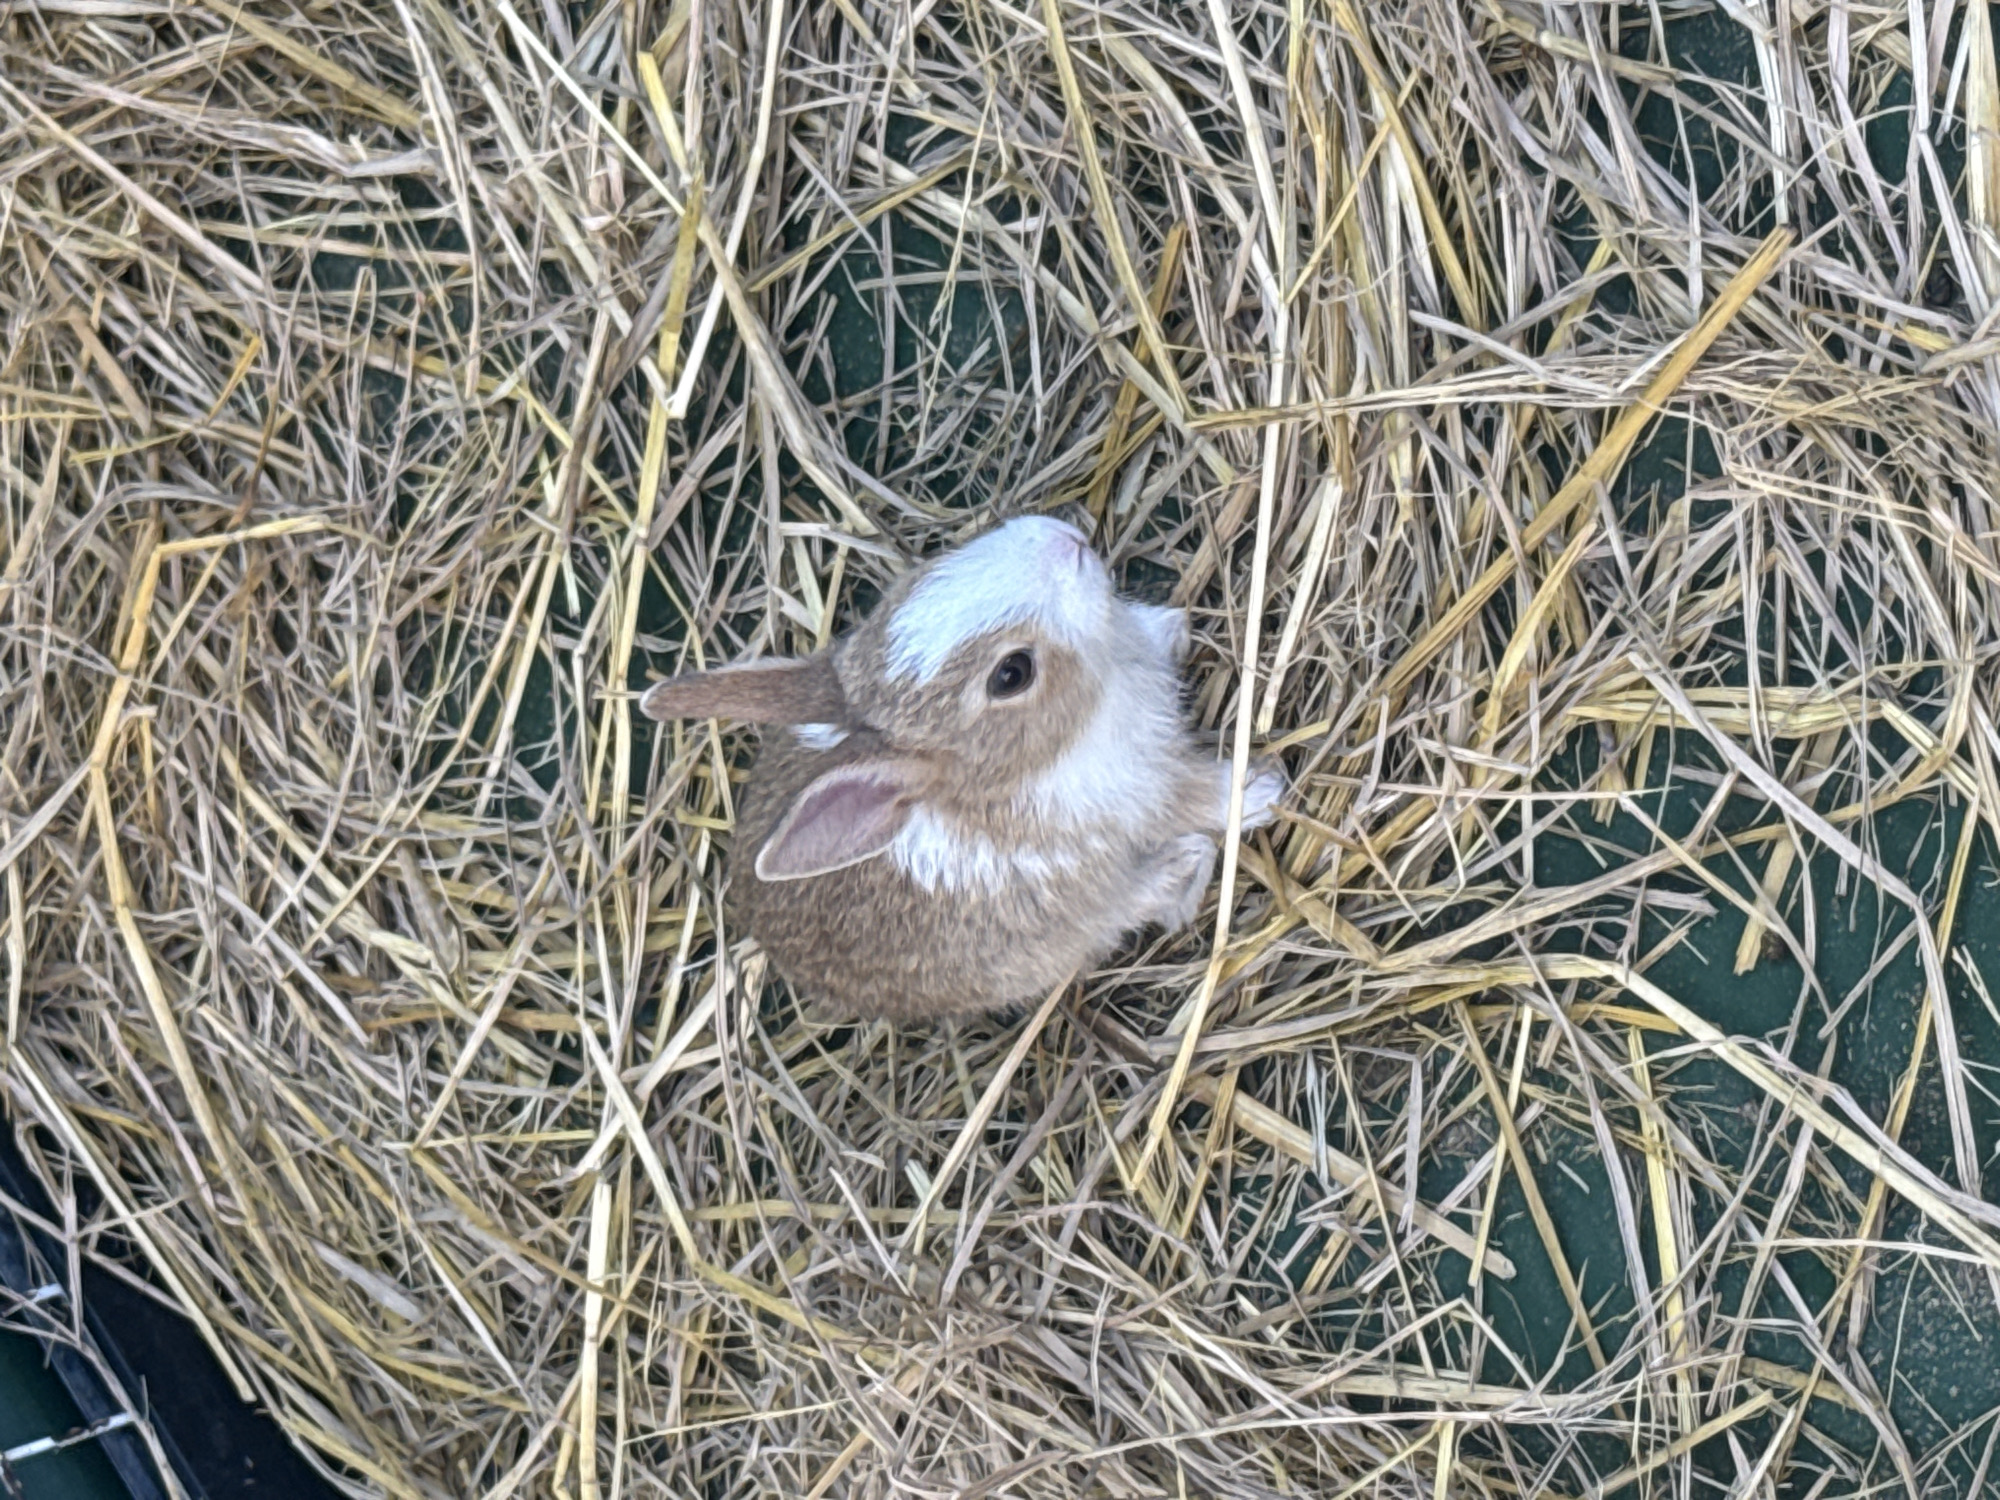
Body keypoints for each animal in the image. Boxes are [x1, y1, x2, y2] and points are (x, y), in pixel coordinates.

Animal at [638, 515, 1286, 1022]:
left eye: (922, 575)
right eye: (1012, 673)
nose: (1069, 542)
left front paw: (1171, 629)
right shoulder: (1140, 793)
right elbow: (1198, 797)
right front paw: (1265, 787)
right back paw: (1185, 872)